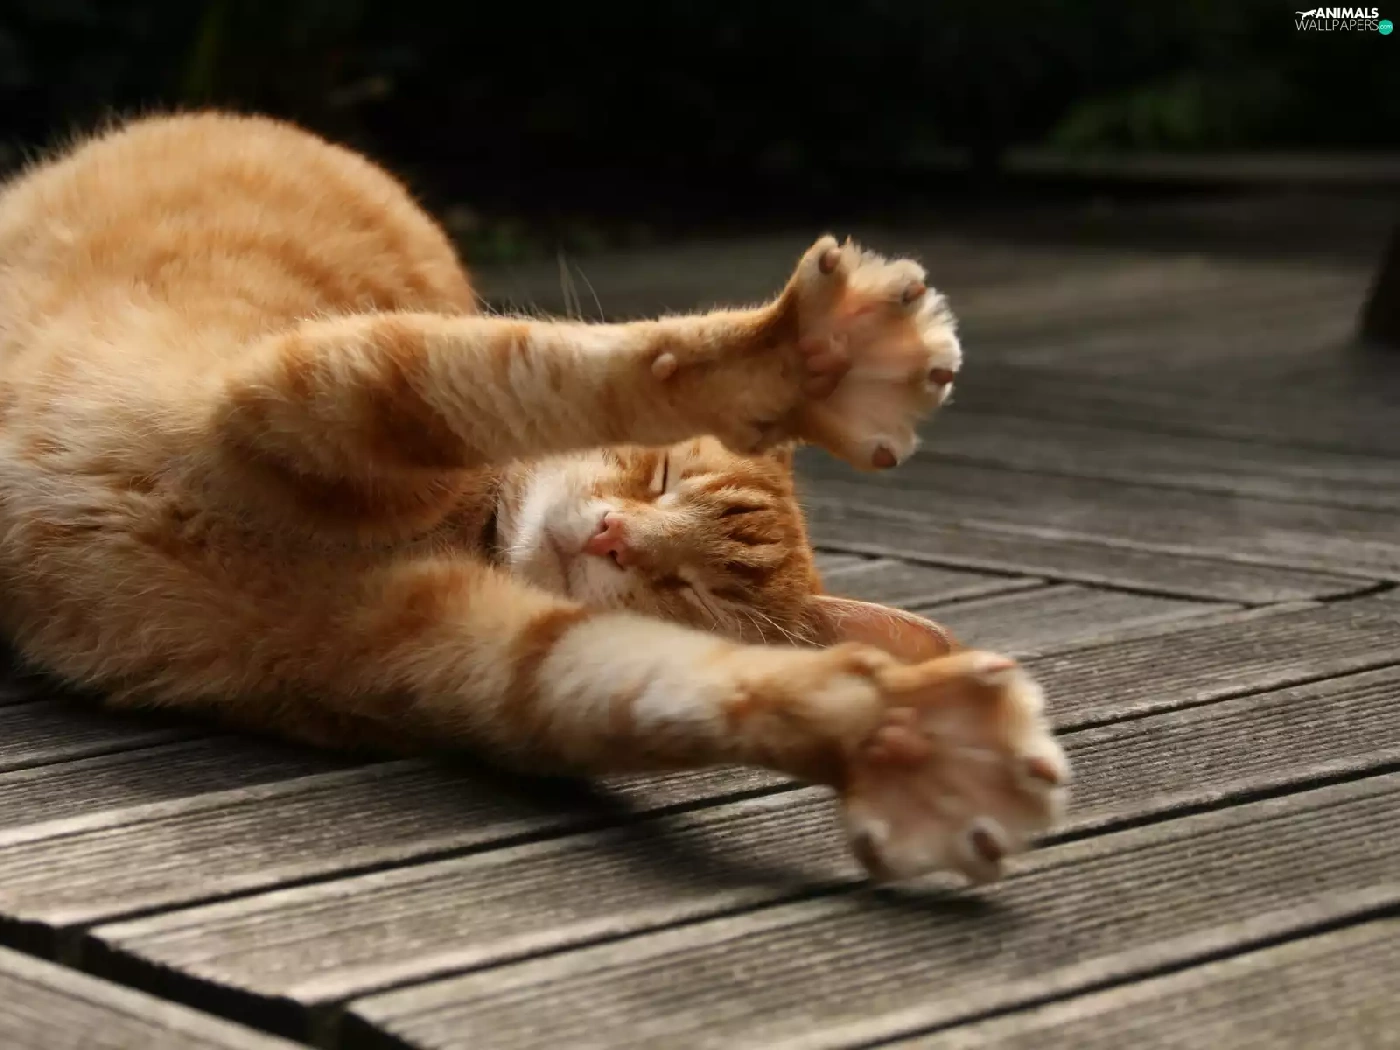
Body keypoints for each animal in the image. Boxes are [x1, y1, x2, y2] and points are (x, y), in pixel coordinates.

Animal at [0, 112, 1067, 885]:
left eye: (693, 592)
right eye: (659, 475)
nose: (612, 538)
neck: (458, 530)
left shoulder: (464, 657)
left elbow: (633, 684)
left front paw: (901, 741)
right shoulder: (307, 386)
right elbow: (552, 370)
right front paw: (804, 360)